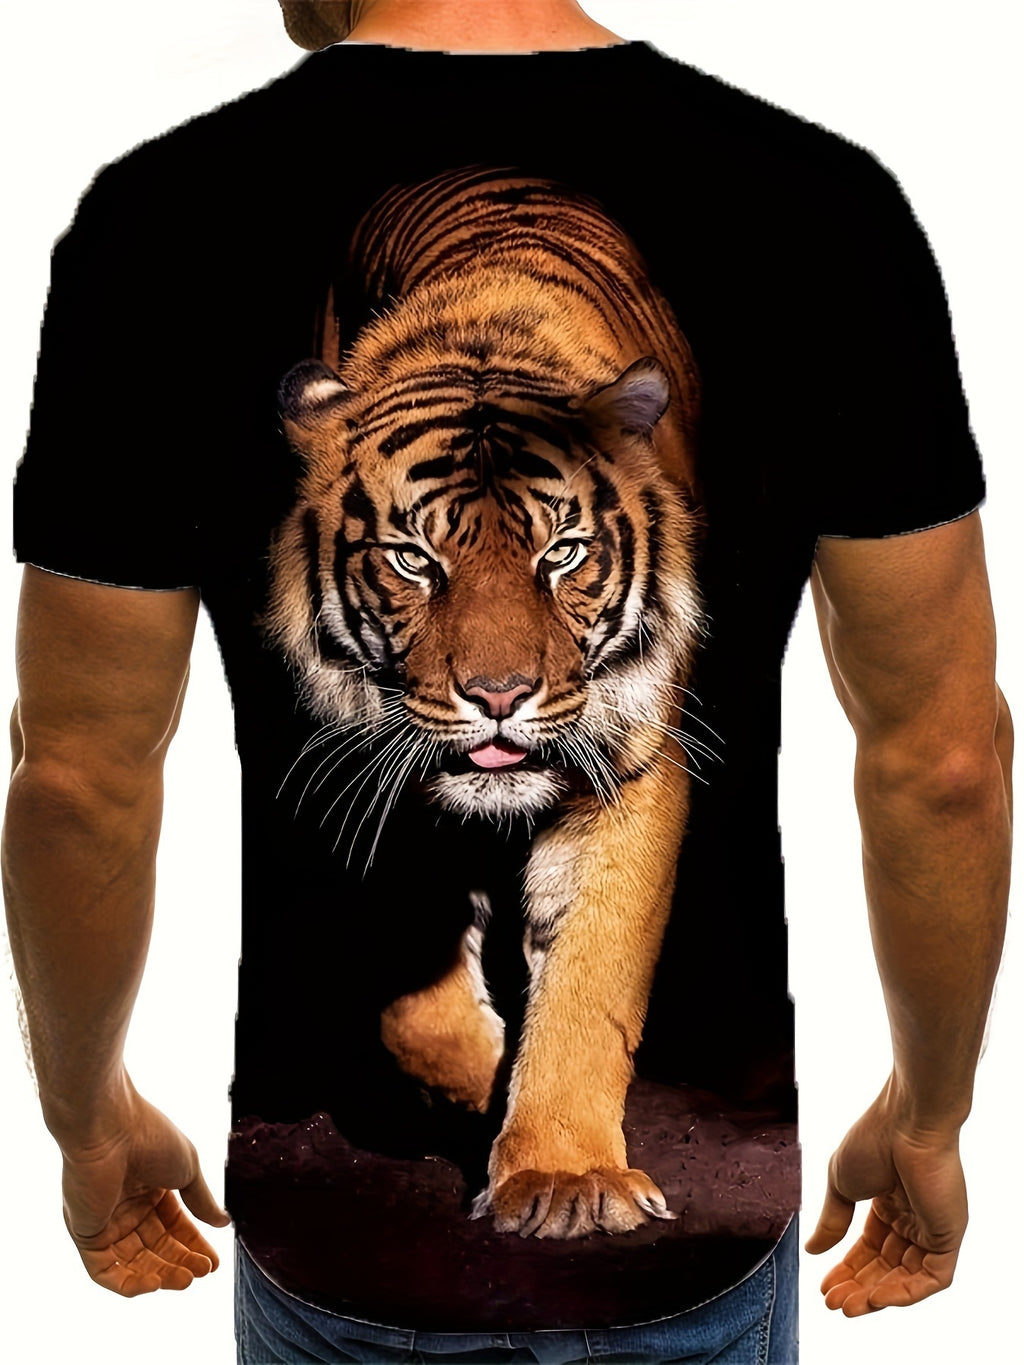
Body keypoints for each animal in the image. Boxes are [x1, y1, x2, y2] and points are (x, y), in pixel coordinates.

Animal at [263, 166, 705, 1240]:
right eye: (415, 559)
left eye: (563, 554)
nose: (499, 695)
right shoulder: (369, 773)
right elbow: (413, 1003)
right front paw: (481, 1088)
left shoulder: (631, 767)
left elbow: (590, 981)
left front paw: (564, 1175)